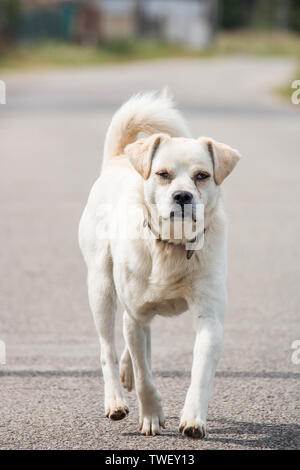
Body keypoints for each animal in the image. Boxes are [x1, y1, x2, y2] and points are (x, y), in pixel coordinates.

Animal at [78, 91, 240, 436]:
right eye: (163, 174)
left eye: (202, 176)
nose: (182, 196)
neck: (172, 247)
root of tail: (117, 158)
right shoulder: (136, 316)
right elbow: (144, 377)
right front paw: (151, 415)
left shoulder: (210, 319)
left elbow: (200, 372)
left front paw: (193, 419)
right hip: (101, 287)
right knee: (108, 347)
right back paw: (115, 399)